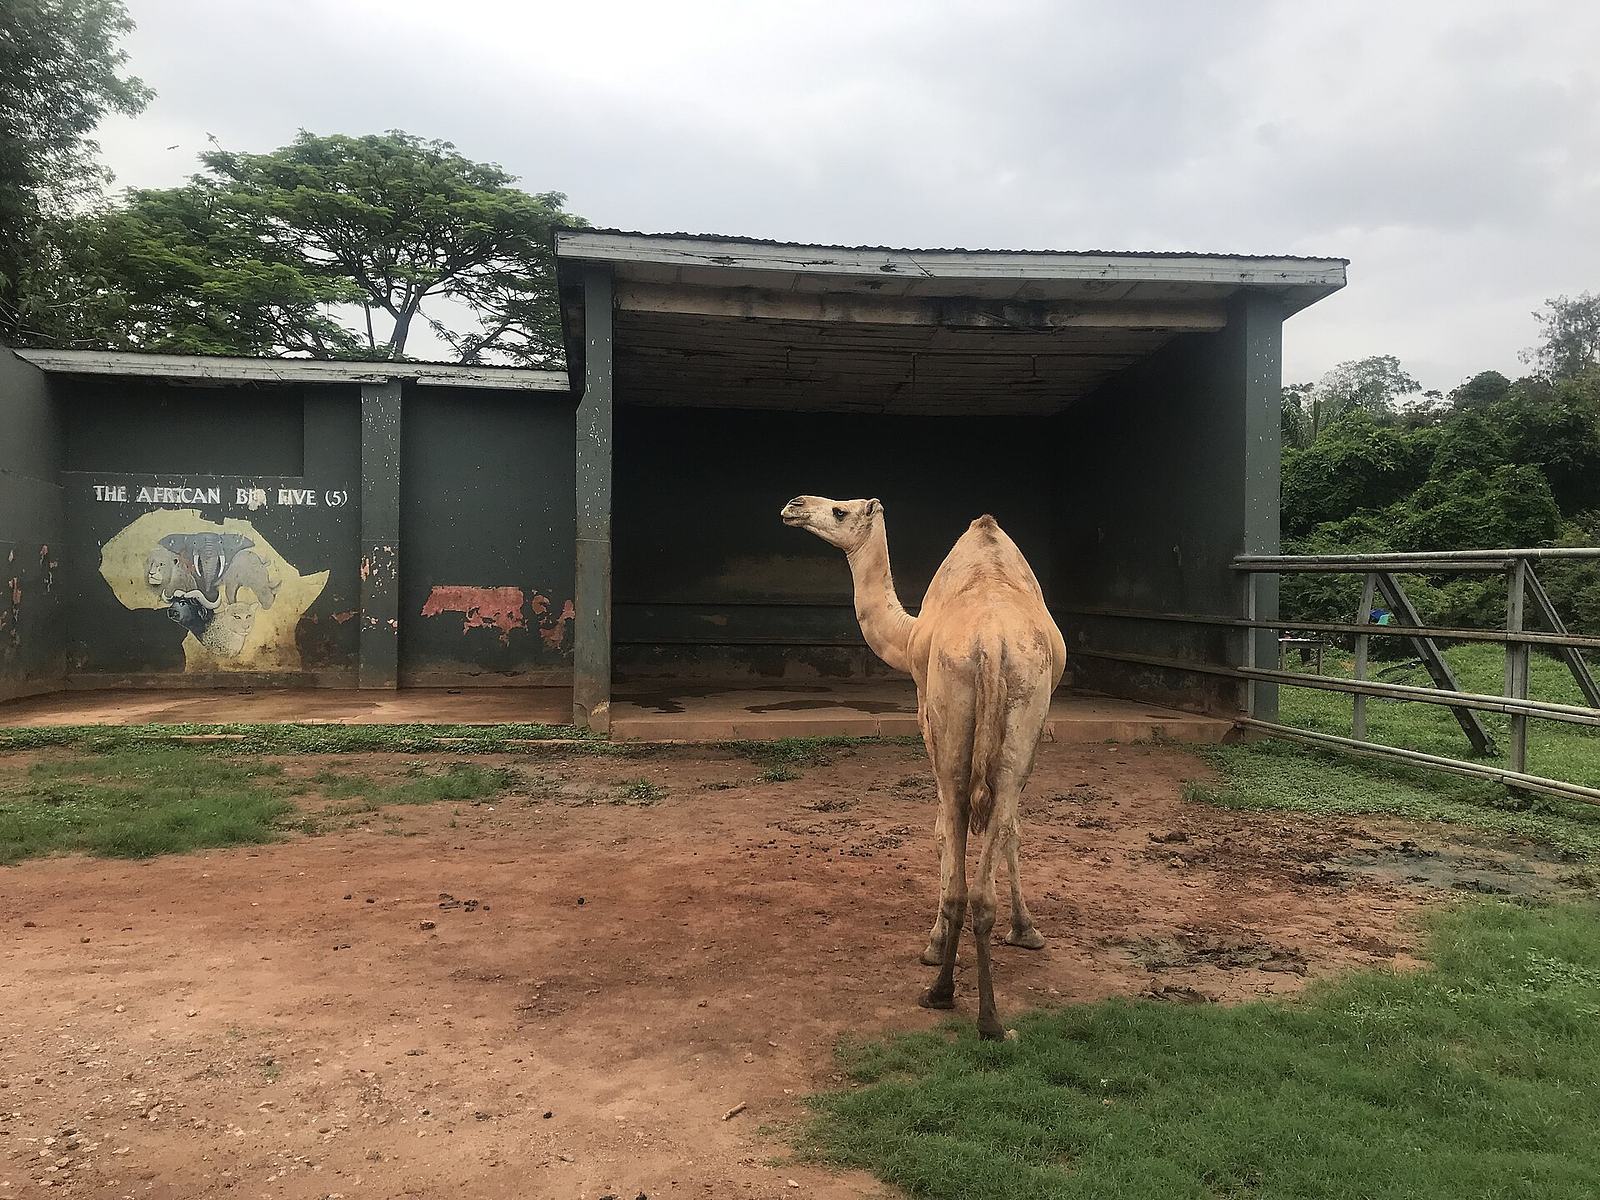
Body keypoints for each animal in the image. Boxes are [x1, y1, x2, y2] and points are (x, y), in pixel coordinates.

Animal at [781, 495, 1066, 1038]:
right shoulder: (1035, 738)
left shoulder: (924, 713)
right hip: (1023, 713)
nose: (793, 506)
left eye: (840, 510)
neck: (909, 632)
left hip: (950, 717)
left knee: (952, 836)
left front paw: (935, 944)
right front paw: (1029, 931)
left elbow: (939, 835)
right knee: (989, 854)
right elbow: (1013, 831)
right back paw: (989, 1019)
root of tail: (991, 642)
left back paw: (941, 987)